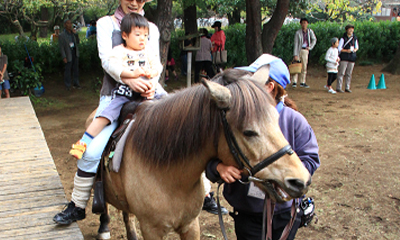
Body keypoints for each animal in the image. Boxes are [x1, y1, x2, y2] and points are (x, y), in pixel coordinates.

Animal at [96, 65, 310, 240]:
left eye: (277, 119)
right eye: (248, 132)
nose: (301, 181)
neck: (167, 176)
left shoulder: (191, 225)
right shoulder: (151, 230)